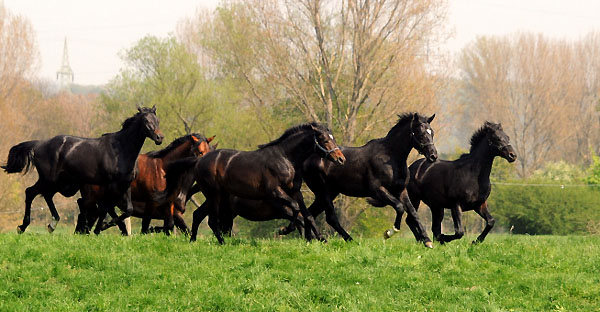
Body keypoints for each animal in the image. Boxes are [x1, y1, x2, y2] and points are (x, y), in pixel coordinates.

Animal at [1, 106, 164, 233]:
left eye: (157, 120)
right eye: (146, 121)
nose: (159, 138)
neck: (120, 150)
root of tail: (39, 144)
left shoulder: (125, 185)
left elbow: (127, 209)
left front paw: (99, 227)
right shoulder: (111, 185)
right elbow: (105, 208)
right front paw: (100, 227)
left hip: (60, 183)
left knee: (46, 195)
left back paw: (52, 224)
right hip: (49, 179)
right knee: (30, 192)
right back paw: (22, 227)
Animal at [75, 133, 213, 234]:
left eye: (210, 150)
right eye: (200, 151)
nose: (206, 165)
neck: (164, 169)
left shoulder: (168, 207)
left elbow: (169, 226)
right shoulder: (154, 204)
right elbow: (146, 226)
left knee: (97, 212)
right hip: (94, 196)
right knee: (85, 209)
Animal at [158, 122, 346, 244]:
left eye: (333, 138)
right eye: (325, 140)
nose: (341, 159)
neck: (286, 159)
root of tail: (199, 161)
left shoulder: (295, 192)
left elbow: (306, 215)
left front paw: (320, 238)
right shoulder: (275, 192)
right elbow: (296, 209)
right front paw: (285, 230)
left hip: (217, 196)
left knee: (198, 215)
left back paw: (193, 240)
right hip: (214, 194)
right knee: (211, 220)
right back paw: (221, 242)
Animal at [284, 112, 438, 246]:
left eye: (432, 132)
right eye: (421, 133)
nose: (433, 156)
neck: (390, 158)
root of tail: (307, 158)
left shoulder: (401, 191)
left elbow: (413, 213)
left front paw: (427, 241)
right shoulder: (377, 190)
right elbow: (400, 207)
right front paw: (389, 232)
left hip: (329, 193)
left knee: (311, 213)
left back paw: (310, 239)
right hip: (323, 192)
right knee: (329, 218)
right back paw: (347, 240)